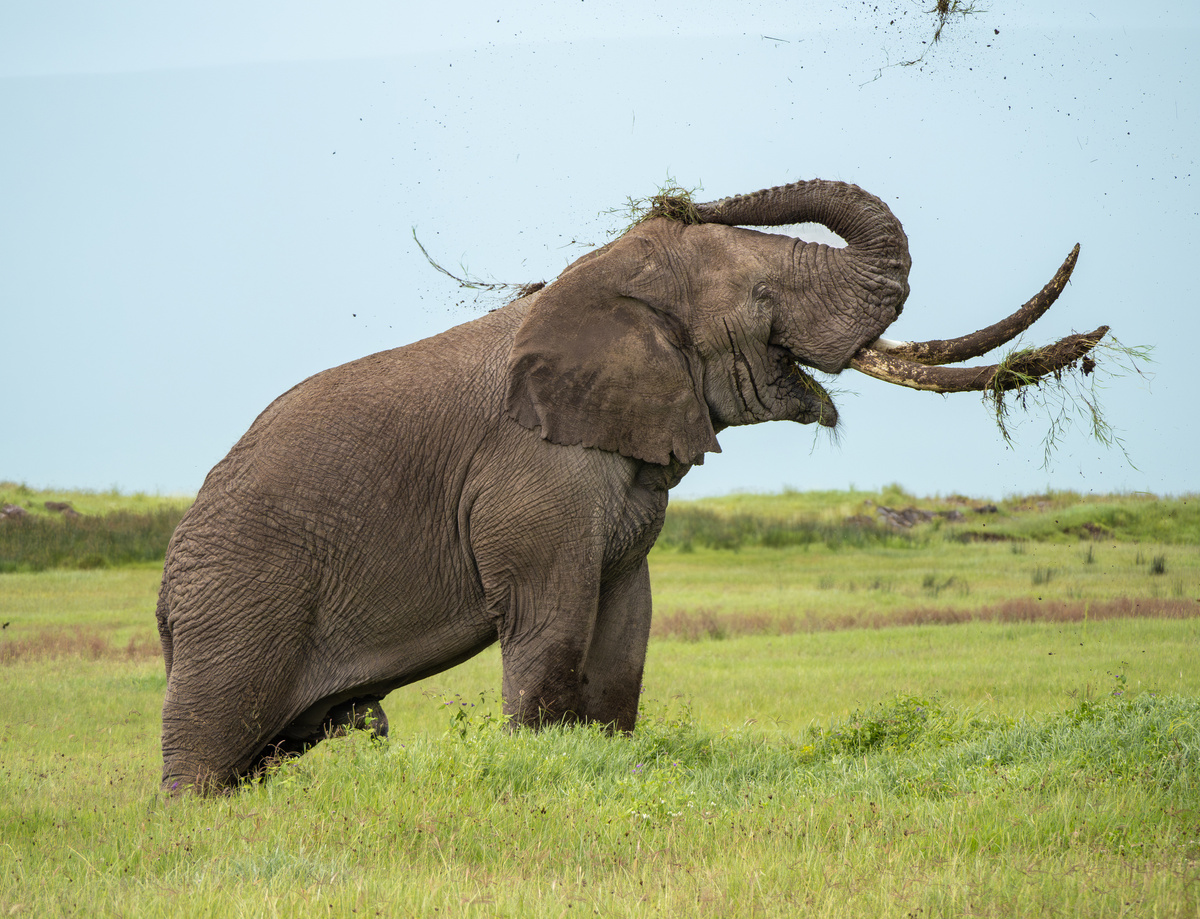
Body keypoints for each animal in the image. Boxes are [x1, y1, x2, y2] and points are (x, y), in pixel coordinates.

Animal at [154, 177, 1099, 791]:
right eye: (763, 297)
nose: (680, 198)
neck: (601, 285)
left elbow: (625, 624)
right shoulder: (535, 469)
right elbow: (553, 621)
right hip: (239, 602)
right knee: (208, 748)